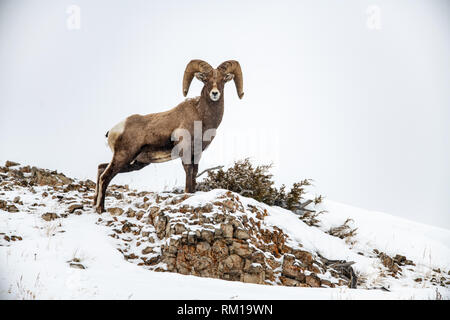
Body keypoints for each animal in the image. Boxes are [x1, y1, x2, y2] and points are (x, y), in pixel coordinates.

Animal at [92, 59, 244, 212]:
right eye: (205, 80)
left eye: (223, 80)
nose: (215, 93)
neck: (201, 116)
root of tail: (113, 131)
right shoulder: (185, 151)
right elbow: (189, 173)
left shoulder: (197, 153)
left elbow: (194, 173)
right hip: (124, 157)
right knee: (105, 177)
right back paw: (101, 209)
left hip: (134, 162)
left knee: (101, 168)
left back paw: (94, 204)